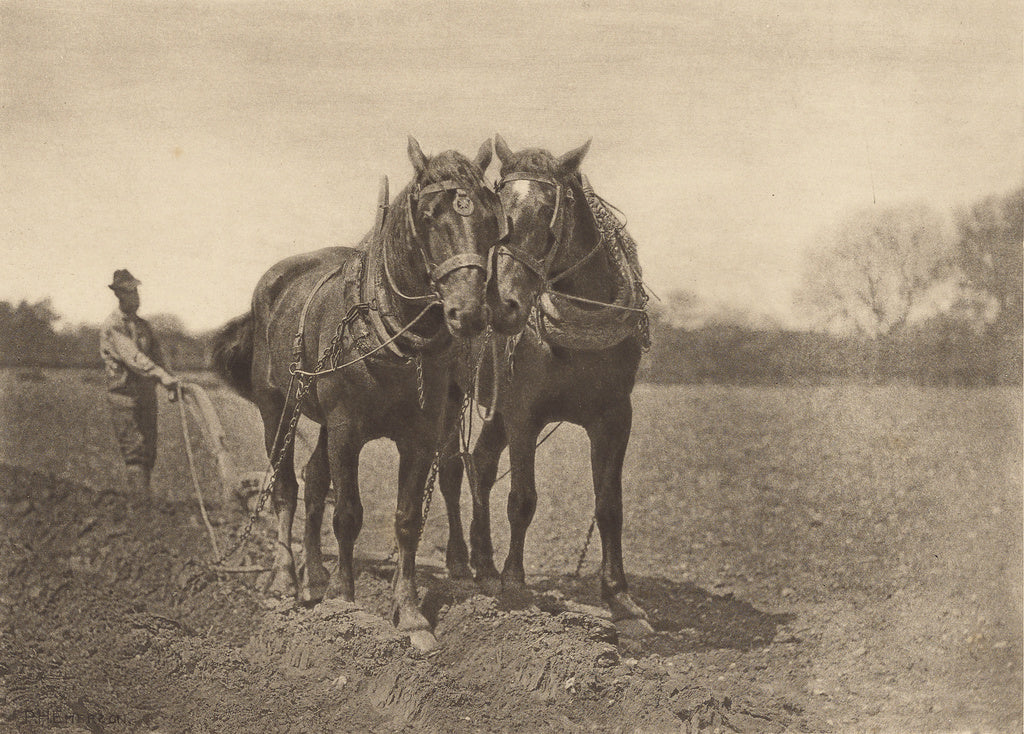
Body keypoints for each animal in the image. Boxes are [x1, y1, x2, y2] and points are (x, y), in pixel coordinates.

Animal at [211, 136, 503, 646]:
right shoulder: (347, 431)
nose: (467, 313)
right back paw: (285, 579)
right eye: (430, 216)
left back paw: (314, 579)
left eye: (490, 217)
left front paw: (410, 614)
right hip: (277, 408)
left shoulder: (420, 437)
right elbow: (347, 513)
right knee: (285, 487)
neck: (392, 336)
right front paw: (346, 604)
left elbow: (407, 520)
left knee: (312, 481)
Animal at [436, 136, 651, 634]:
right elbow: (522, 499)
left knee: (480, 464)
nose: (499, 307)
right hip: (451, 398)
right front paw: (515, 586)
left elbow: (609, 504)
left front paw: (621, 600)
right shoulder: (523, 415)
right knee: (452, 470)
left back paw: (484, 562)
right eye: (497, 225)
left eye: (549, 224)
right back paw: (460, 561)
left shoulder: (615, 416)